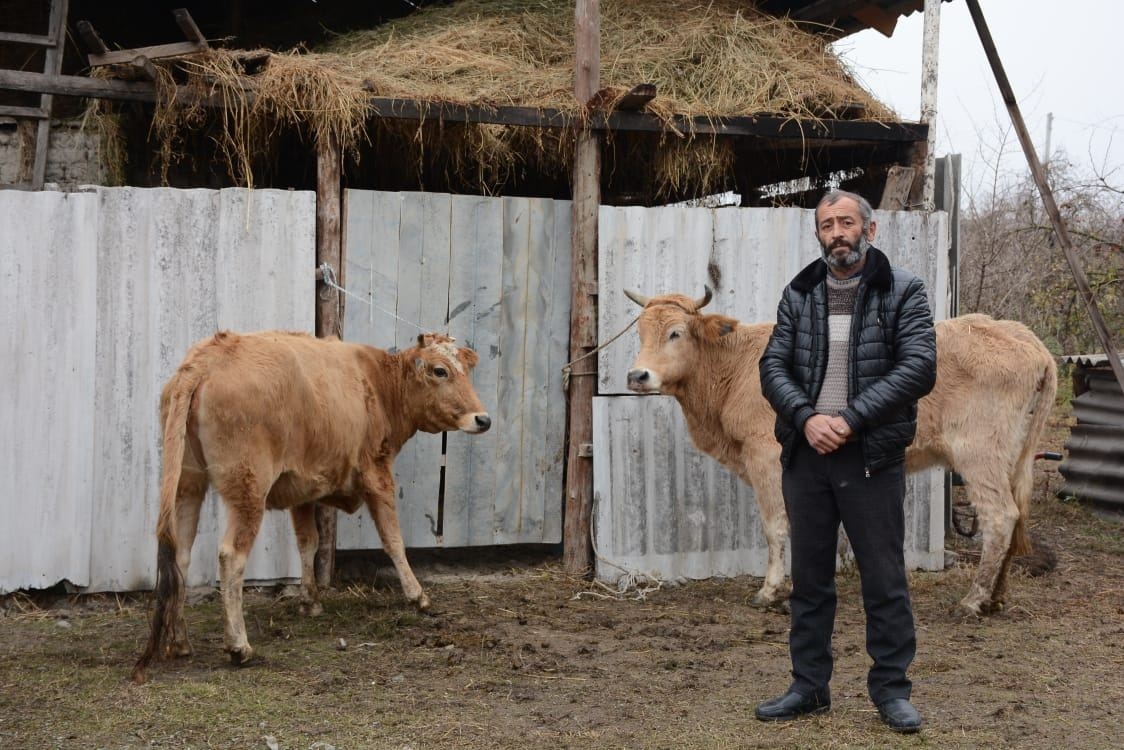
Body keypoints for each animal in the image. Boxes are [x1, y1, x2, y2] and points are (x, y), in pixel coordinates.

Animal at [129, 330, 490, 683]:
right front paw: (417, 595)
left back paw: (180, 641)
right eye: (440, 370)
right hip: (248, 490)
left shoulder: (300, 489)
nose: (483, 419)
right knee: (231, 556)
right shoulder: (377, 473)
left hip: (188, 485)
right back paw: (239, 647)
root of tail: (208, 356)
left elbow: (308, 543)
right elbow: (393, 539)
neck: (377, 382)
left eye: (467, 369)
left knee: (180, 556)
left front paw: (310, 601)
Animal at [629, 290, 1056, 620]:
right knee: (1017, 515)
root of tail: (1023, 338)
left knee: (1000, 517)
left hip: (979, 454)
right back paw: (996, 598)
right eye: (640, 332)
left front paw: (771, 591)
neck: (731, 370)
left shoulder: (765, 456)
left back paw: (972, 600)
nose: (637, 375)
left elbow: (776, 526)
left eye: (675, 333)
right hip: (1012, 456)